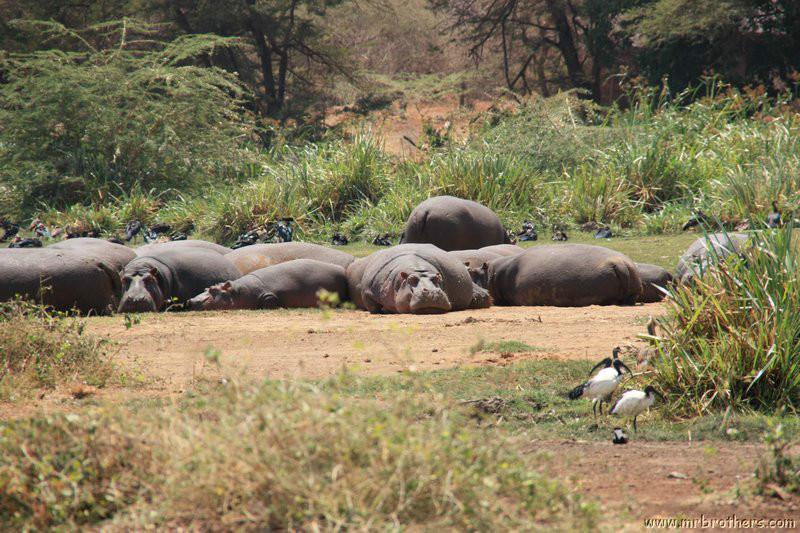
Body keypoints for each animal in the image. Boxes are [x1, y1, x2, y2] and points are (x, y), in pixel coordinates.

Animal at [187, 259, 348, 311]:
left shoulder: (269, 295)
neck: (238, 292)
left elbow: (269, 300)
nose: (191, 300)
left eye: (214, 290)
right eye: (206, 288)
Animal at [347, 243, 491, 314]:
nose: (432, 292)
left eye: (437, 278)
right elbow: (373, 307)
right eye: (411, 280)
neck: (417, 269)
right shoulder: (367, 292)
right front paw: (384, 310)